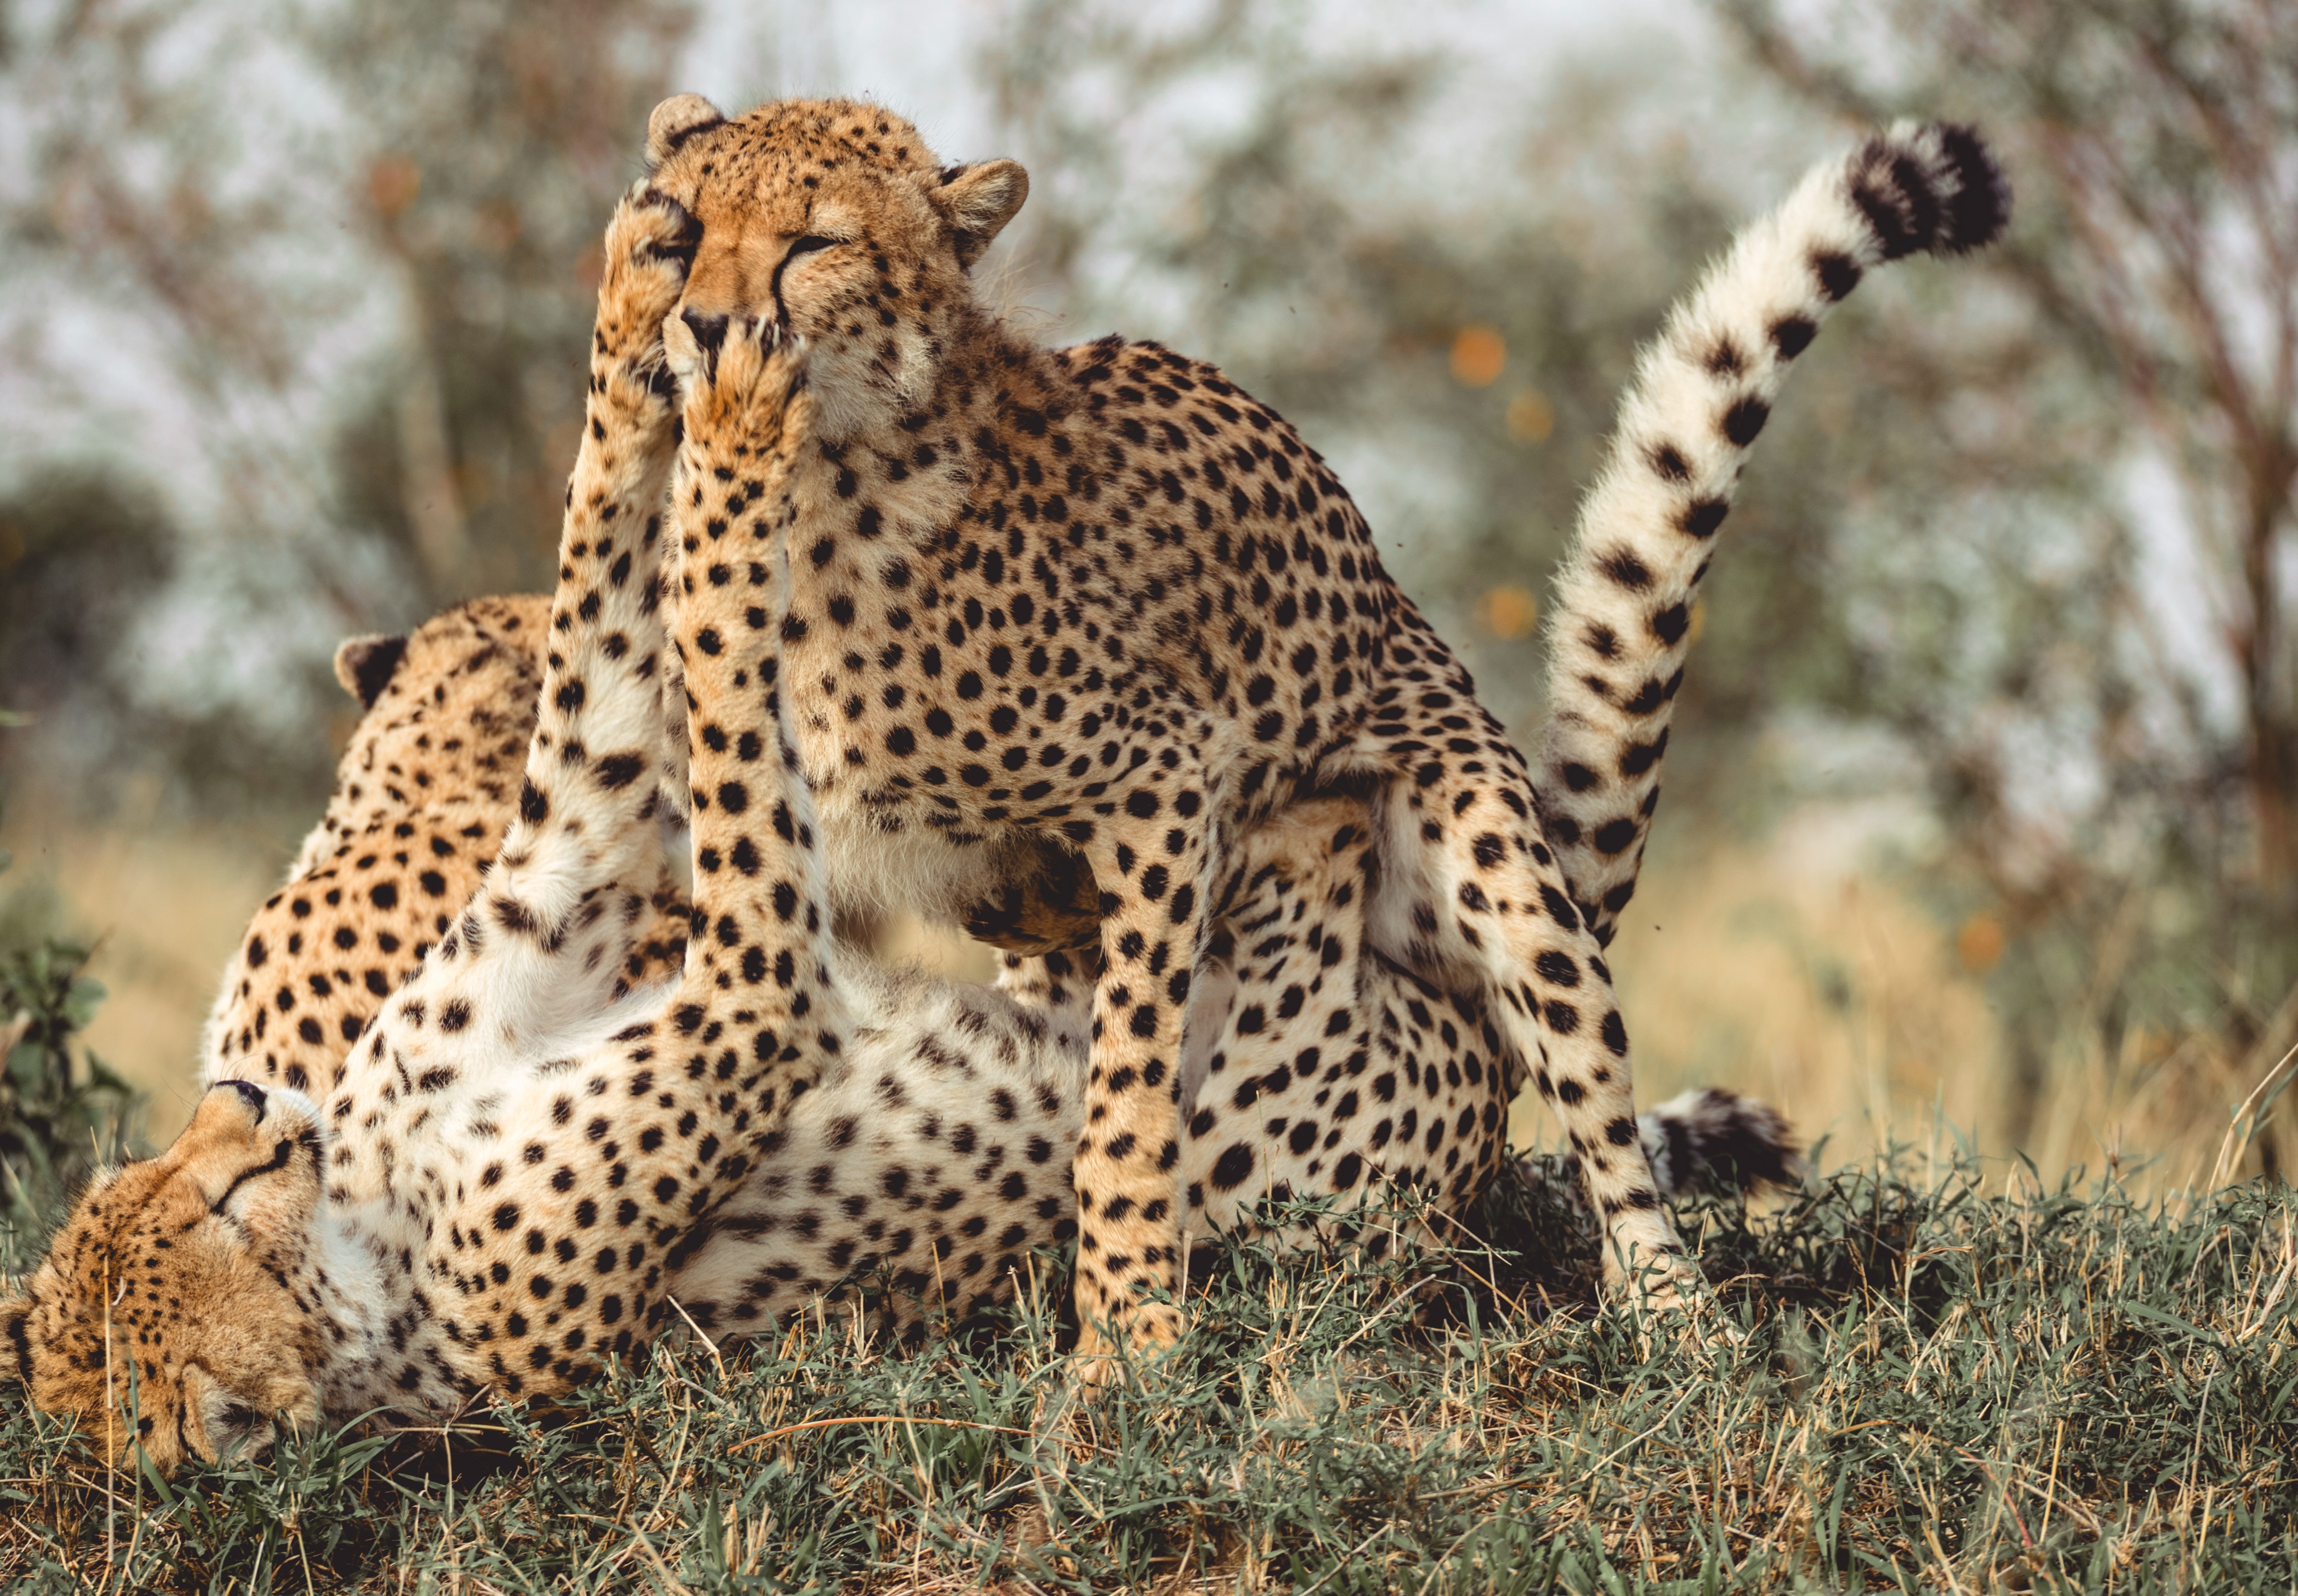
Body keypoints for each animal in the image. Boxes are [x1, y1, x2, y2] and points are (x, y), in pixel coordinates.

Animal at [635, 92, 2009, 1363]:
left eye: (812, 242)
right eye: (681, 230)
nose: (703, 326)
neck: (833, 478)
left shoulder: (1161, 783)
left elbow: (1125, 1098)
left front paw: (1125, 1339)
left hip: (1486, 866)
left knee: (1594, 1107)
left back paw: (1678, 1323)